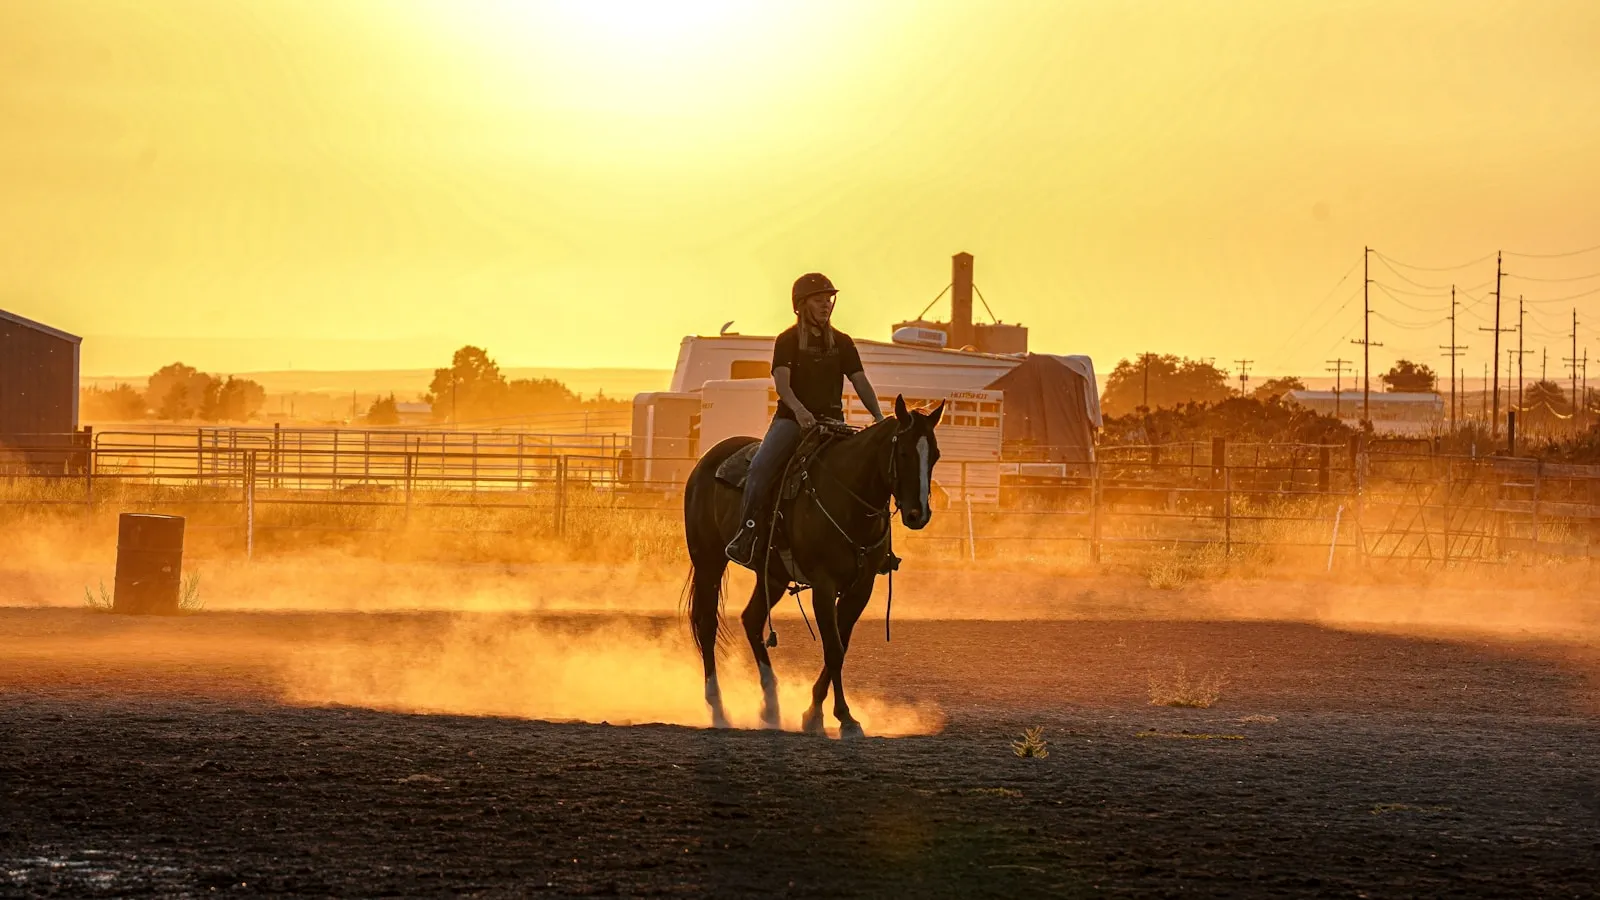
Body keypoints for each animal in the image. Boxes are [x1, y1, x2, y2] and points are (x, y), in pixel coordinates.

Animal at [682, 394, 944, 738]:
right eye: (903, 452)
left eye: (935, 455)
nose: (918, 514)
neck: (848, 497)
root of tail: (706, 460)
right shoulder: (824, 585)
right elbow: (833, 649)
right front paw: (843, 717)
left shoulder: (861, 588)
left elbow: (841, 647)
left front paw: (814, 713)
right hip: (709, 561)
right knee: (708, 624)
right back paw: (718, 708)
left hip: (773, 575)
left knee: (752, 620)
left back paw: (771, 706)